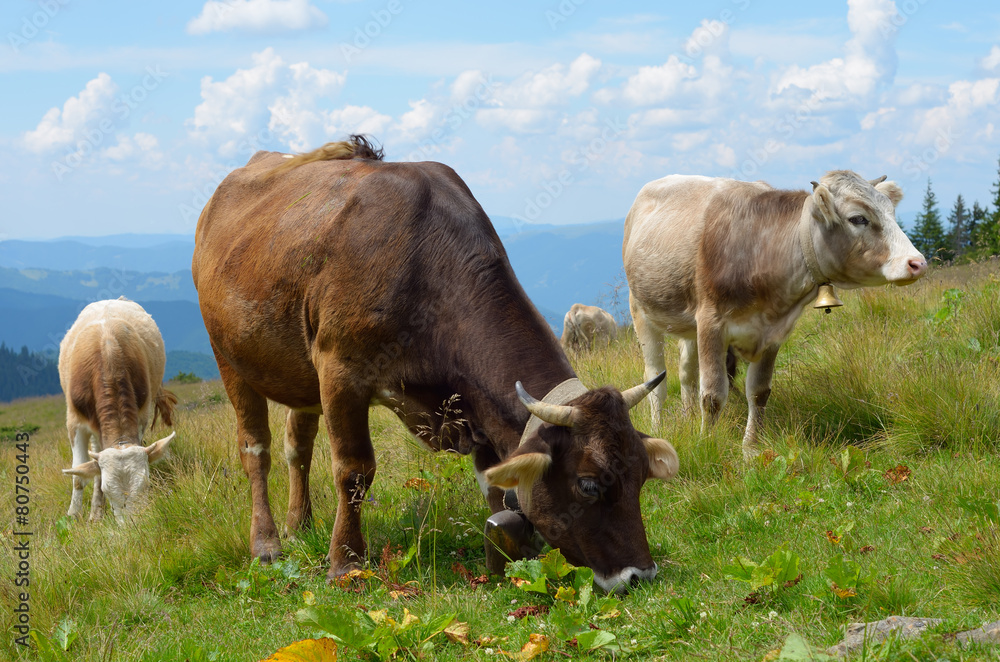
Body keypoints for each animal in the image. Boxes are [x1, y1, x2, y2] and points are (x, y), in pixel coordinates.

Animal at [59, 297, 178, 522]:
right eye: (108, 490)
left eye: (147, 484)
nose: (134, 525)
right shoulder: (74, 422)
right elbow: (78, 476)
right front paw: (73, 516)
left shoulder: (141, 416)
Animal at [191, 136, 679, 593]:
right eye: (588, 483)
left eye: (641, 477)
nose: (639, 574)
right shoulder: (341, 371)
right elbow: (354, 470)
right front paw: (345, 562)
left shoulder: (472, 404)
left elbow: (494, 482)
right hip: (228, 355)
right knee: (256, 449)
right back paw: (267, 543)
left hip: (300, 372)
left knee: (299, 445)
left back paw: (300, 524)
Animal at [623, 171, 927, 460]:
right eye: (858, 218)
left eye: (891, 212)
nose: (917, 263)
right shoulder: (711, 323)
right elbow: (712, 395)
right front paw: (706, 444)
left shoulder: (773, 332)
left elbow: (759, 392)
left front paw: (750, 448)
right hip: (641, 312)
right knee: (656, 379)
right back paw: (659, 427)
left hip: (688, 326)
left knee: (686, 373)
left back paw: (687, 418)